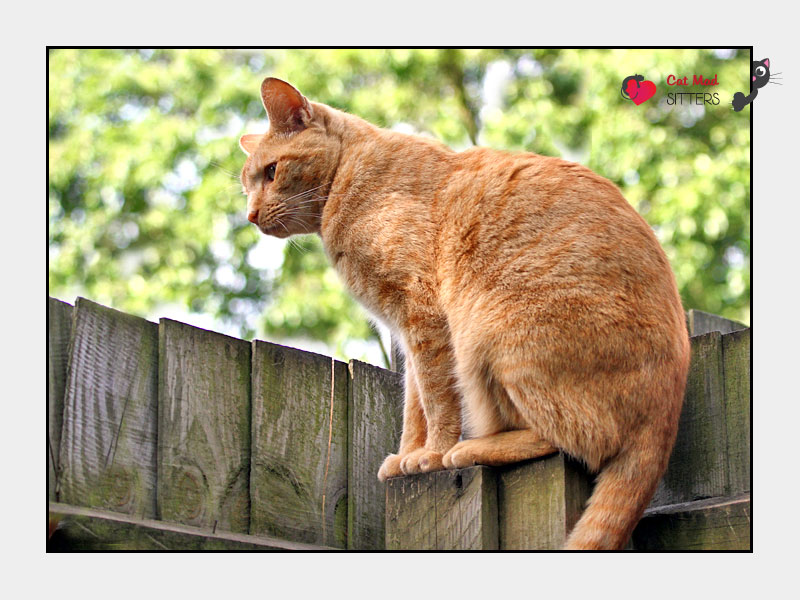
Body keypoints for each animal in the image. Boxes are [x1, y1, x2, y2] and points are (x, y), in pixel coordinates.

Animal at [238, 77, 688, 552]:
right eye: (247, 186)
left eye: (271, 172)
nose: (250, 215)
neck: (349, 176)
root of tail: (666, 415)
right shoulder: (405, 333)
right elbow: (414, 406)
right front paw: (407, 455)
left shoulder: (424, 318)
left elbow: (438, 401)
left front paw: (432, 455)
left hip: (489, 333)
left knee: (579, 441)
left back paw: (472, 449)